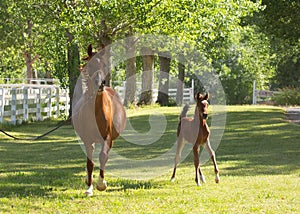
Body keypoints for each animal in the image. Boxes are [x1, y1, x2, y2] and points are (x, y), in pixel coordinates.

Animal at [72, 44, 125, 196]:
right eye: (90, 65)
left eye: (105, 64)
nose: (100, 83)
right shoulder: (87, 138)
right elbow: (90, 163)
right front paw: (89, 188)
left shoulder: (107, 137)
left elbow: (102, 156)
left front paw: (101, 184)